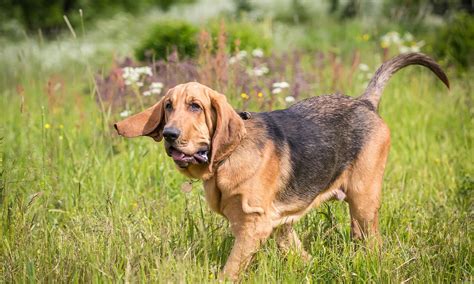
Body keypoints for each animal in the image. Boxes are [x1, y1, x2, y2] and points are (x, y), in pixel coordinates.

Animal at [114, 52, 448, 280]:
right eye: (168, 106)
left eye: (195, 106)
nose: (170, 135)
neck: (225, 159)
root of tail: (365, 102)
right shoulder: (269, 224)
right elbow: (296, 253)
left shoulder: (253, 226)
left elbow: (229, 271)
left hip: (363, 199)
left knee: (372, 242)